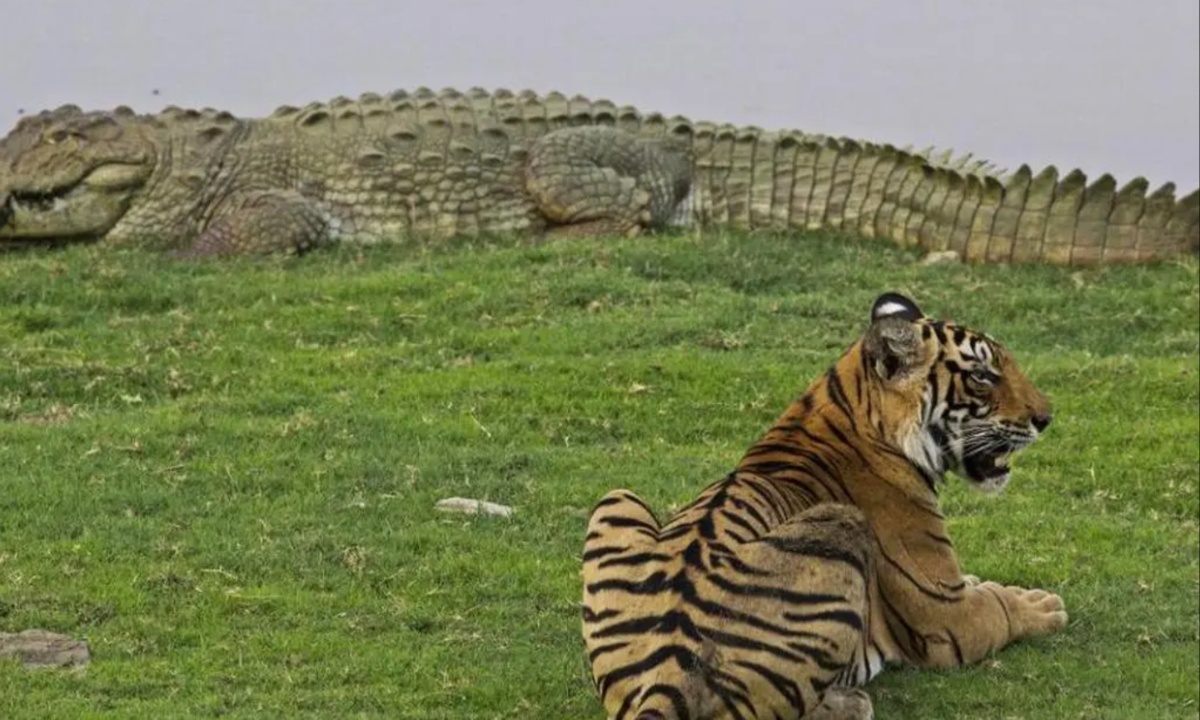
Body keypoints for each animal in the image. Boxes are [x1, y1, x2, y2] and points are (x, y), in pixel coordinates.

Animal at [580, 289, 1070, 715]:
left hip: (616, 498)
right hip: (840, 523)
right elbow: (1000, 609)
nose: (1046, 418)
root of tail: (668, 678)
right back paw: (849, 704)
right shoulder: (946, 614)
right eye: (983, 376)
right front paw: (1042, 605)